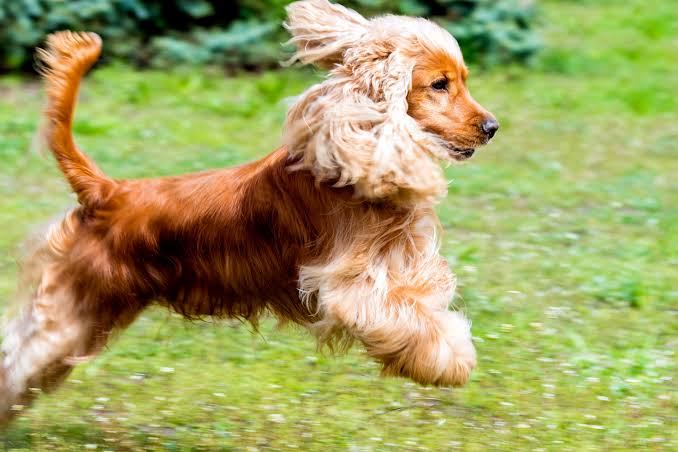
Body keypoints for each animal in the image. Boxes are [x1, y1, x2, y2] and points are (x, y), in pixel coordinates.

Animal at [0, 0, 500, 424]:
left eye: (464, 79)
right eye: (440, 85)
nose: (492, 126)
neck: (355, 156)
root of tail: (108, 192)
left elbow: (424, 301)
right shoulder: (349, 286)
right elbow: (410, 322)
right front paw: (452, 362)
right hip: (74, 308)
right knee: (18, 357)